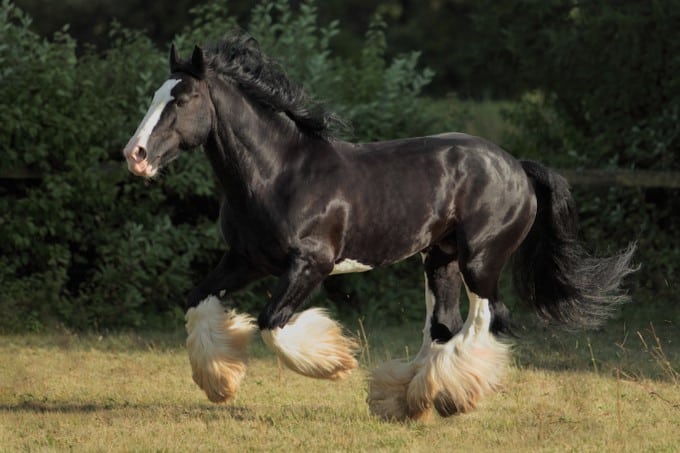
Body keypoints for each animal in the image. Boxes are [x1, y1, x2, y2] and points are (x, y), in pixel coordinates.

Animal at [122, 31, 636, 420]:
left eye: (183, 99)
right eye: (155, 96)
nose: (135, 155)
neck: (278, 173)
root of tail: (517, 167)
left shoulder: (310, 265)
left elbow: (272, 323)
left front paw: (335, 362)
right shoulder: (246, 260)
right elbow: (198, 301)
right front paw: (220, 384)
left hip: (481, 261)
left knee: (485, 320)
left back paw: (450, 397)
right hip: (440, 259)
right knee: (443, 326)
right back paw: (412, 399)